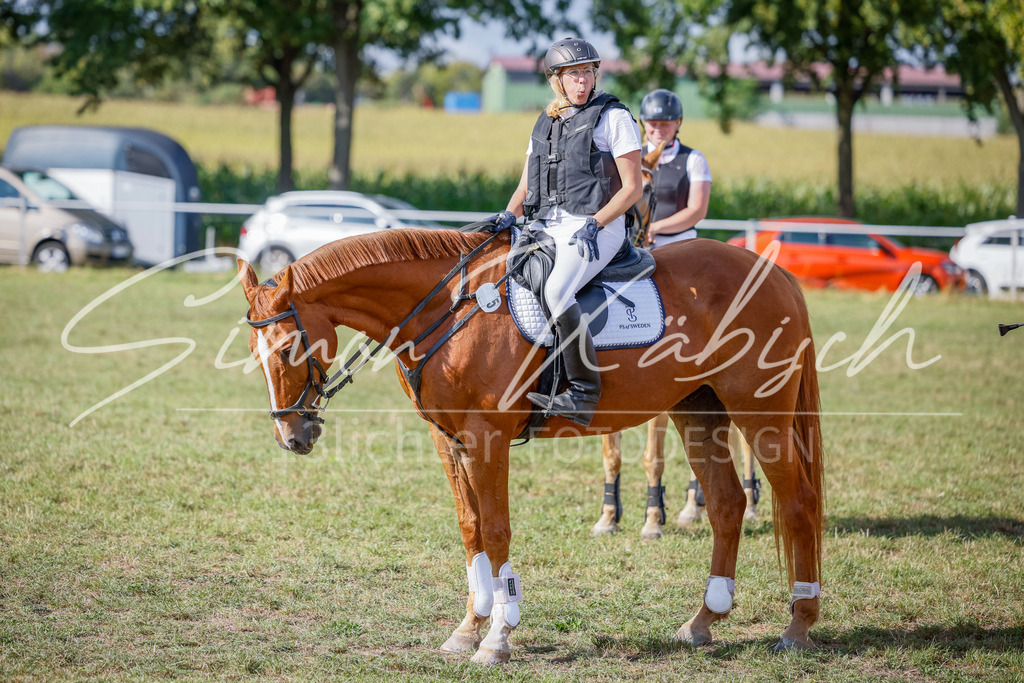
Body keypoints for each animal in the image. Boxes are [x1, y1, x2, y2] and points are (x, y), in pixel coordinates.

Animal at [238, 227, 825, 664]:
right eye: (253, 350)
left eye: (287, 348)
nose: (293, 436)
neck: (447, 311)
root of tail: (775, 273)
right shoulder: (448, 440)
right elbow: (470, 527)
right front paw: (469, 628)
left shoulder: (487, 438)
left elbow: (497, 531)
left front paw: (498, 636)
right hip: (698, 411)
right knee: (726, 504)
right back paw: (703, 620)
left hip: (761, 415)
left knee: (798, 503)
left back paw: (798, 626)